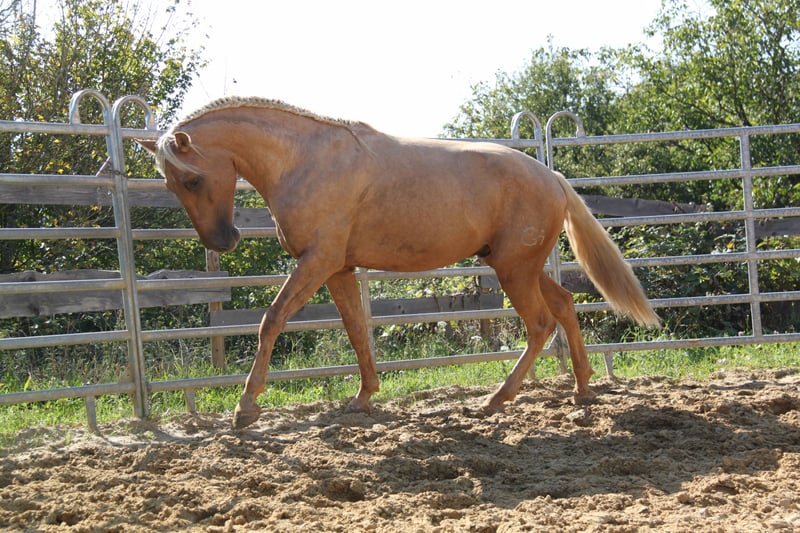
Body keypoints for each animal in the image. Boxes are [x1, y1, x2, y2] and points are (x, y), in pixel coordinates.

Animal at [137, 97, 660, 429]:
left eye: (193, 179)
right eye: (171, 184)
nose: (223, 241)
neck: (305, 160)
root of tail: (553, 177)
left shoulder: (317, 261)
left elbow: (272, 320)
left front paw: (246, 408)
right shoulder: (338, 269)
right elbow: (355, 330)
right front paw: (363, 398)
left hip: (515, 271)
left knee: (539, 325)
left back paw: (496, 399)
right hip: (518, 267)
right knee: (566, 305)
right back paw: (582, 390)